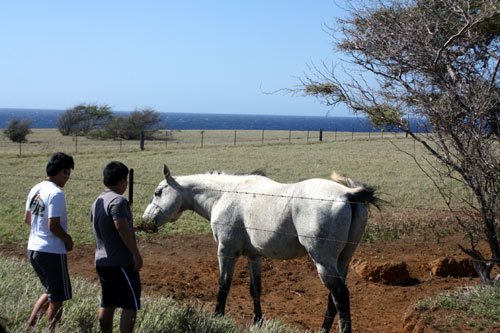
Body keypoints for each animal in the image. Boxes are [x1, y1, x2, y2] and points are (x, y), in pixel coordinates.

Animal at [143, 165, 376, 330]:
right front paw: (258, 321)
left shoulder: (226, 251)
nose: (145, 220)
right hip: (342, 262)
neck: (225, 193)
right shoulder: (254, 256)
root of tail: (348, 194)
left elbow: (223, 286)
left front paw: (217, 317)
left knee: (340, 295)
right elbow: (255, 289)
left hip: (324, 263)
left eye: (158, 192)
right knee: (334, 298)